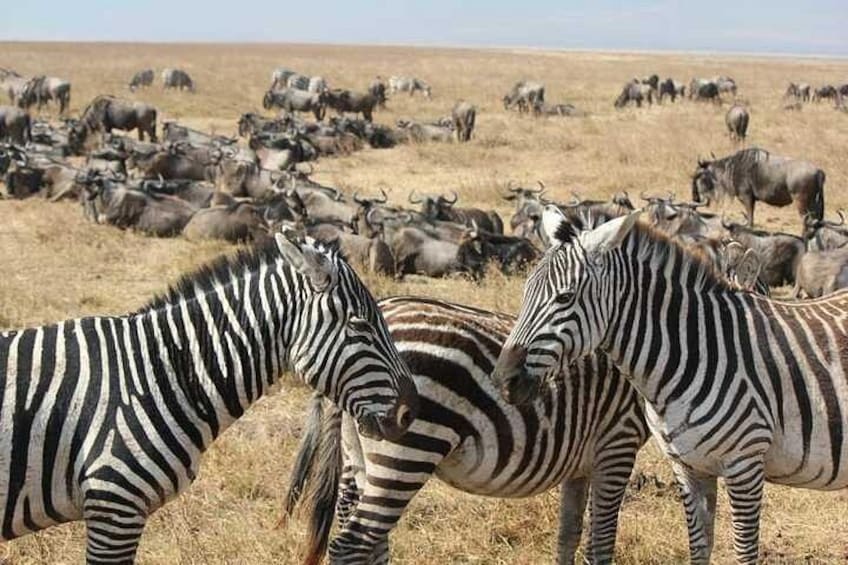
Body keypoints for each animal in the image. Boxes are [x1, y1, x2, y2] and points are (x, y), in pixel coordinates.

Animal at [285, 296, 648, 564]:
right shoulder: (617, 442)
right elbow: (600, 543)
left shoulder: (581, 463)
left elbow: (568, 536)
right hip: (407, 450)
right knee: (353, 543)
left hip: (357, 450)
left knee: (367, 535)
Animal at [493, 205, 848, 563]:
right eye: (525, 291)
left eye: (565, 298)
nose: (503, 379)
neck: (695, 351)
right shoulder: (688, 466)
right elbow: (699, 548)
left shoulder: (745, 462)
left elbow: (744, 552)